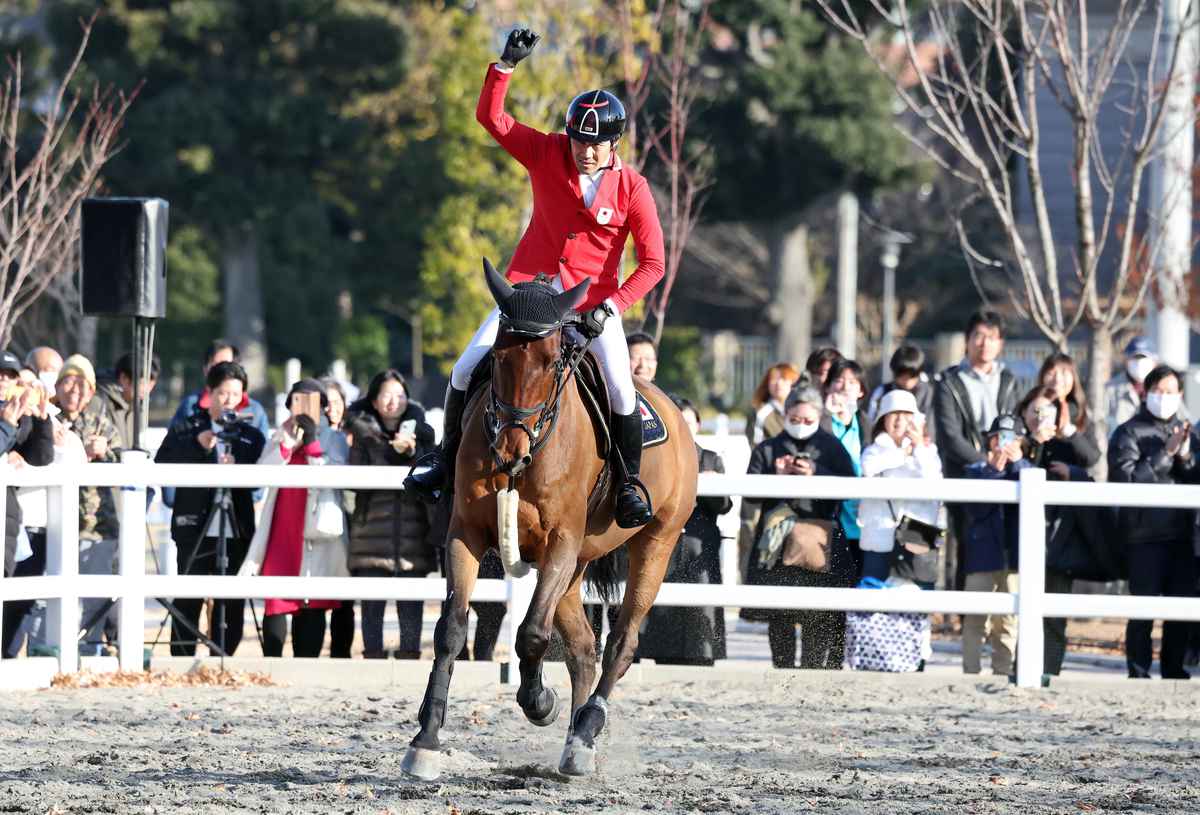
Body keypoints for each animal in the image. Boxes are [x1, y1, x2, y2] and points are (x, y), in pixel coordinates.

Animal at [398, 259, 700, 777]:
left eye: (550, 361)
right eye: (497, 359)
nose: (509, 451)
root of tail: (675, 412)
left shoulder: (559, 542)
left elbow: (532, 636)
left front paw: (539, 701)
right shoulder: (467, 535)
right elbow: (451, 629)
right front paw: (427, 739)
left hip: (654, 544)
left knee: (620, 643)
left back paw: (585, 730)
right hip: (576, 564)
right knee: (582, 649)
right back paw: (577, 743)